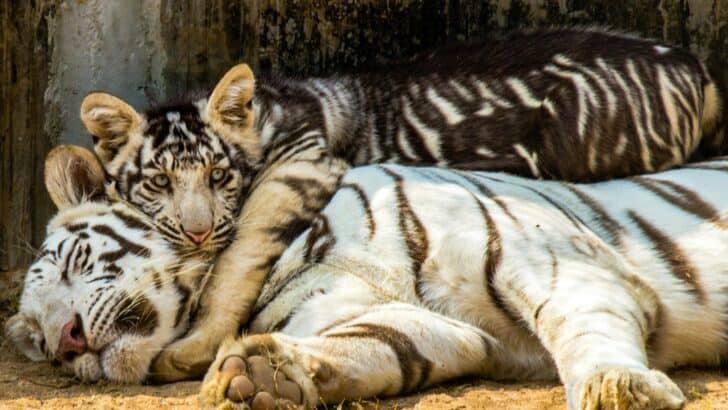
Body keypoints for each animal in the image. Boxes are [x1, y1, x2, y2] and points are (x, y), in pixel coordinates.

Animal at [12, 144, 728, 410]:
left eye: (75, 263)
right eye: (38, 340)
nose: (68, 342)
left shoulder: (547, 256)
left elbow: (584, 325)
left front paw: (621, 387)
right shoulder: (437, 328)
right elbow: (373, 347)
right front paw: (259, 377)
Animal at [78, 26, 724, 380]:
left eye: (218, 176)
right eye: (158, 183)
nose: (195, 232)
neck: (267, 122)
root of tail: (695, 65)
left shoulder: (300, 166)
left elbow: (236, 260)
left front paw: (190, 348)